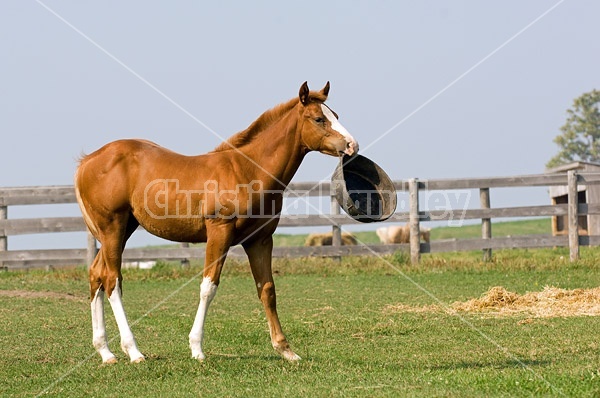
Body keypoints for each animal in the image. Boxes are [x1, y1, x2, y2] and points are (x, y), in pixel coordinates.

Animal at [74, 81, 356, 364]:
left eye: (336, 115)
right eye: (319, 119)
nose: (352, 145)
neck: (247, 171)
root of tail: (88, 161)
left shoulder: (260, 240)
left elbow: (267, 289)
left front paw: (285, 349)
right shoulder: (219, 232)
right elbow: (208, 287)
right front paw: (197, 348)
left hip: (123, 229)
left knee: (96, 274)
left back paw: (105, 351)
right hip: (113, 227)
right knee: (112, 280)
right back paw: (133, 351)